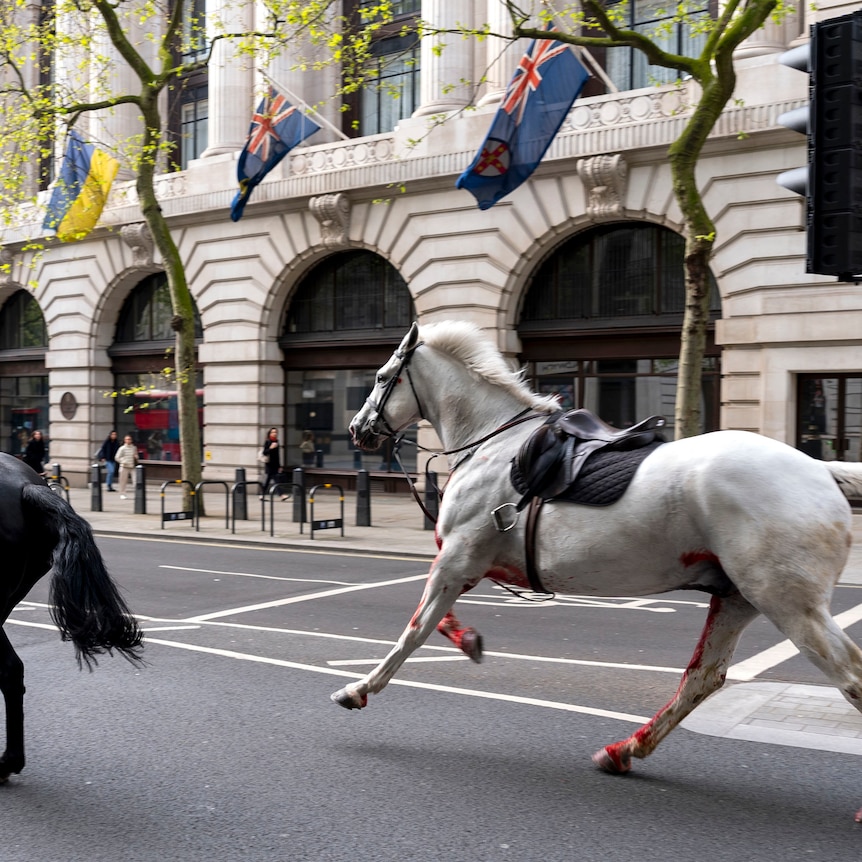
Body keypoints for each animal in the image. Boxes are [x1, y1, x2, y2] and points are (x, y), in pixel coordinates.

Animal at [334, 322, 862, 824]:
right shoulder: (464, 562)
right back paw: (625, 750)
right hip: (738, 597)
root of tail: (821, 469)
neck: (494, 443)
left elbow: (415, 629)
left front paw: (360, 689)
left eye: (381, 377)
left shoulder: (458, 557)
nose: (358, 428)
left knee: (849, 675)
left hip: (788, 602)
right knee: (702, 678)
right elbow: (437, 620)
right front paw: (467, 641)